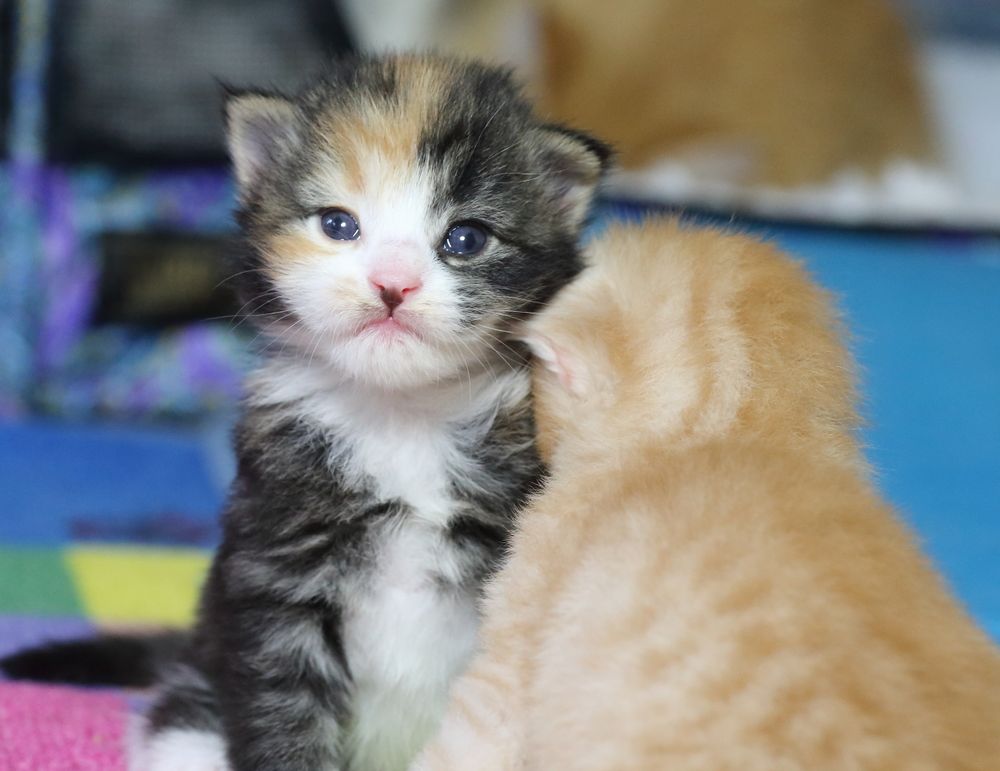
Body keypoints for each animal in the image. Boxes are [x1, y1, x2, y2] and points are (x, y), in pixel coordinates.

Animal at [3, 55, 604, 771]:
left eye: (465, 239)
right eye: (338, 225)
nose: (393, 285)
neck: (400, 417)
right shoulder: (273, 576)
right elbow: (283, 708)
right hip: (195, 695)